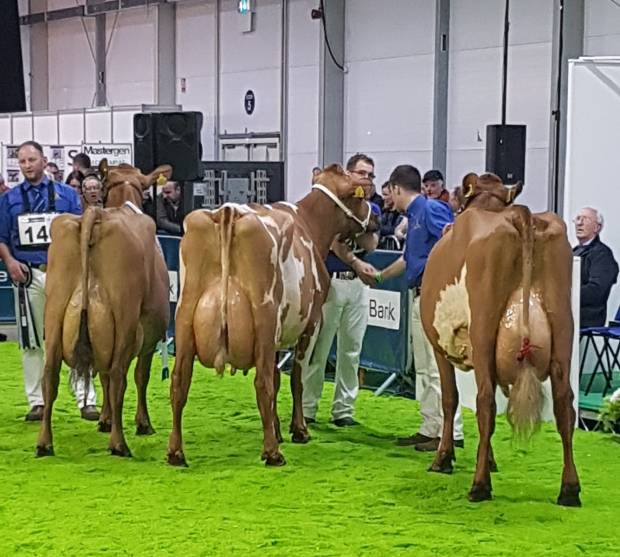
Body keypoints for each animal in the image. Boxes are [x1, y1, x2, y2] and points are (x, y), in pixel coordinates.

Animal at [37, 204, 171, 456]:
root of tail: (95, 213)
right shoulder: (148, 341)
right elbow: (141, 376)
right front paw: (142, 423)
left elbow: (104, 377)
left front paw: (105, 420)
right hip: (125, 320)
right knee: (119, 377)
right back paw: (119, 444)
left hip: (53, 316)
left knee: (49, 377)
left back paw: (44, 443)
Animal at [167, 164, 376, 464]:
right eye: (363, 195)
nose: (376, 222)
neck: (310, 224)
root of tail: (227, 210)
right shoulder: (311, 323)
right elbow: (296, 379)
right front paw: (298, 430)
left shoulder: (280, 333)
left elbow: (279, 379)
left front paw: (277, 429)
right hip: (264, 318)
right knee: (261, 382)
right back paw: (272, 453)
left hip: (184, 316)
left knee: (179, 382)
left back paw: (176, 451)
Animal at [418, 173, 580, 504]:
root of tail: (520, 215)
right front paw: (489, 458)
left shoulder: (440, 348)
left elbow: (450, 399)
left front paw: (444, 458)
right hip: (563, 329)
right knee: (564, 405)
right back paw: (569, 489)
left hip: (483, 330)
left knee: (485, 404)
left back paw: (479, 485)